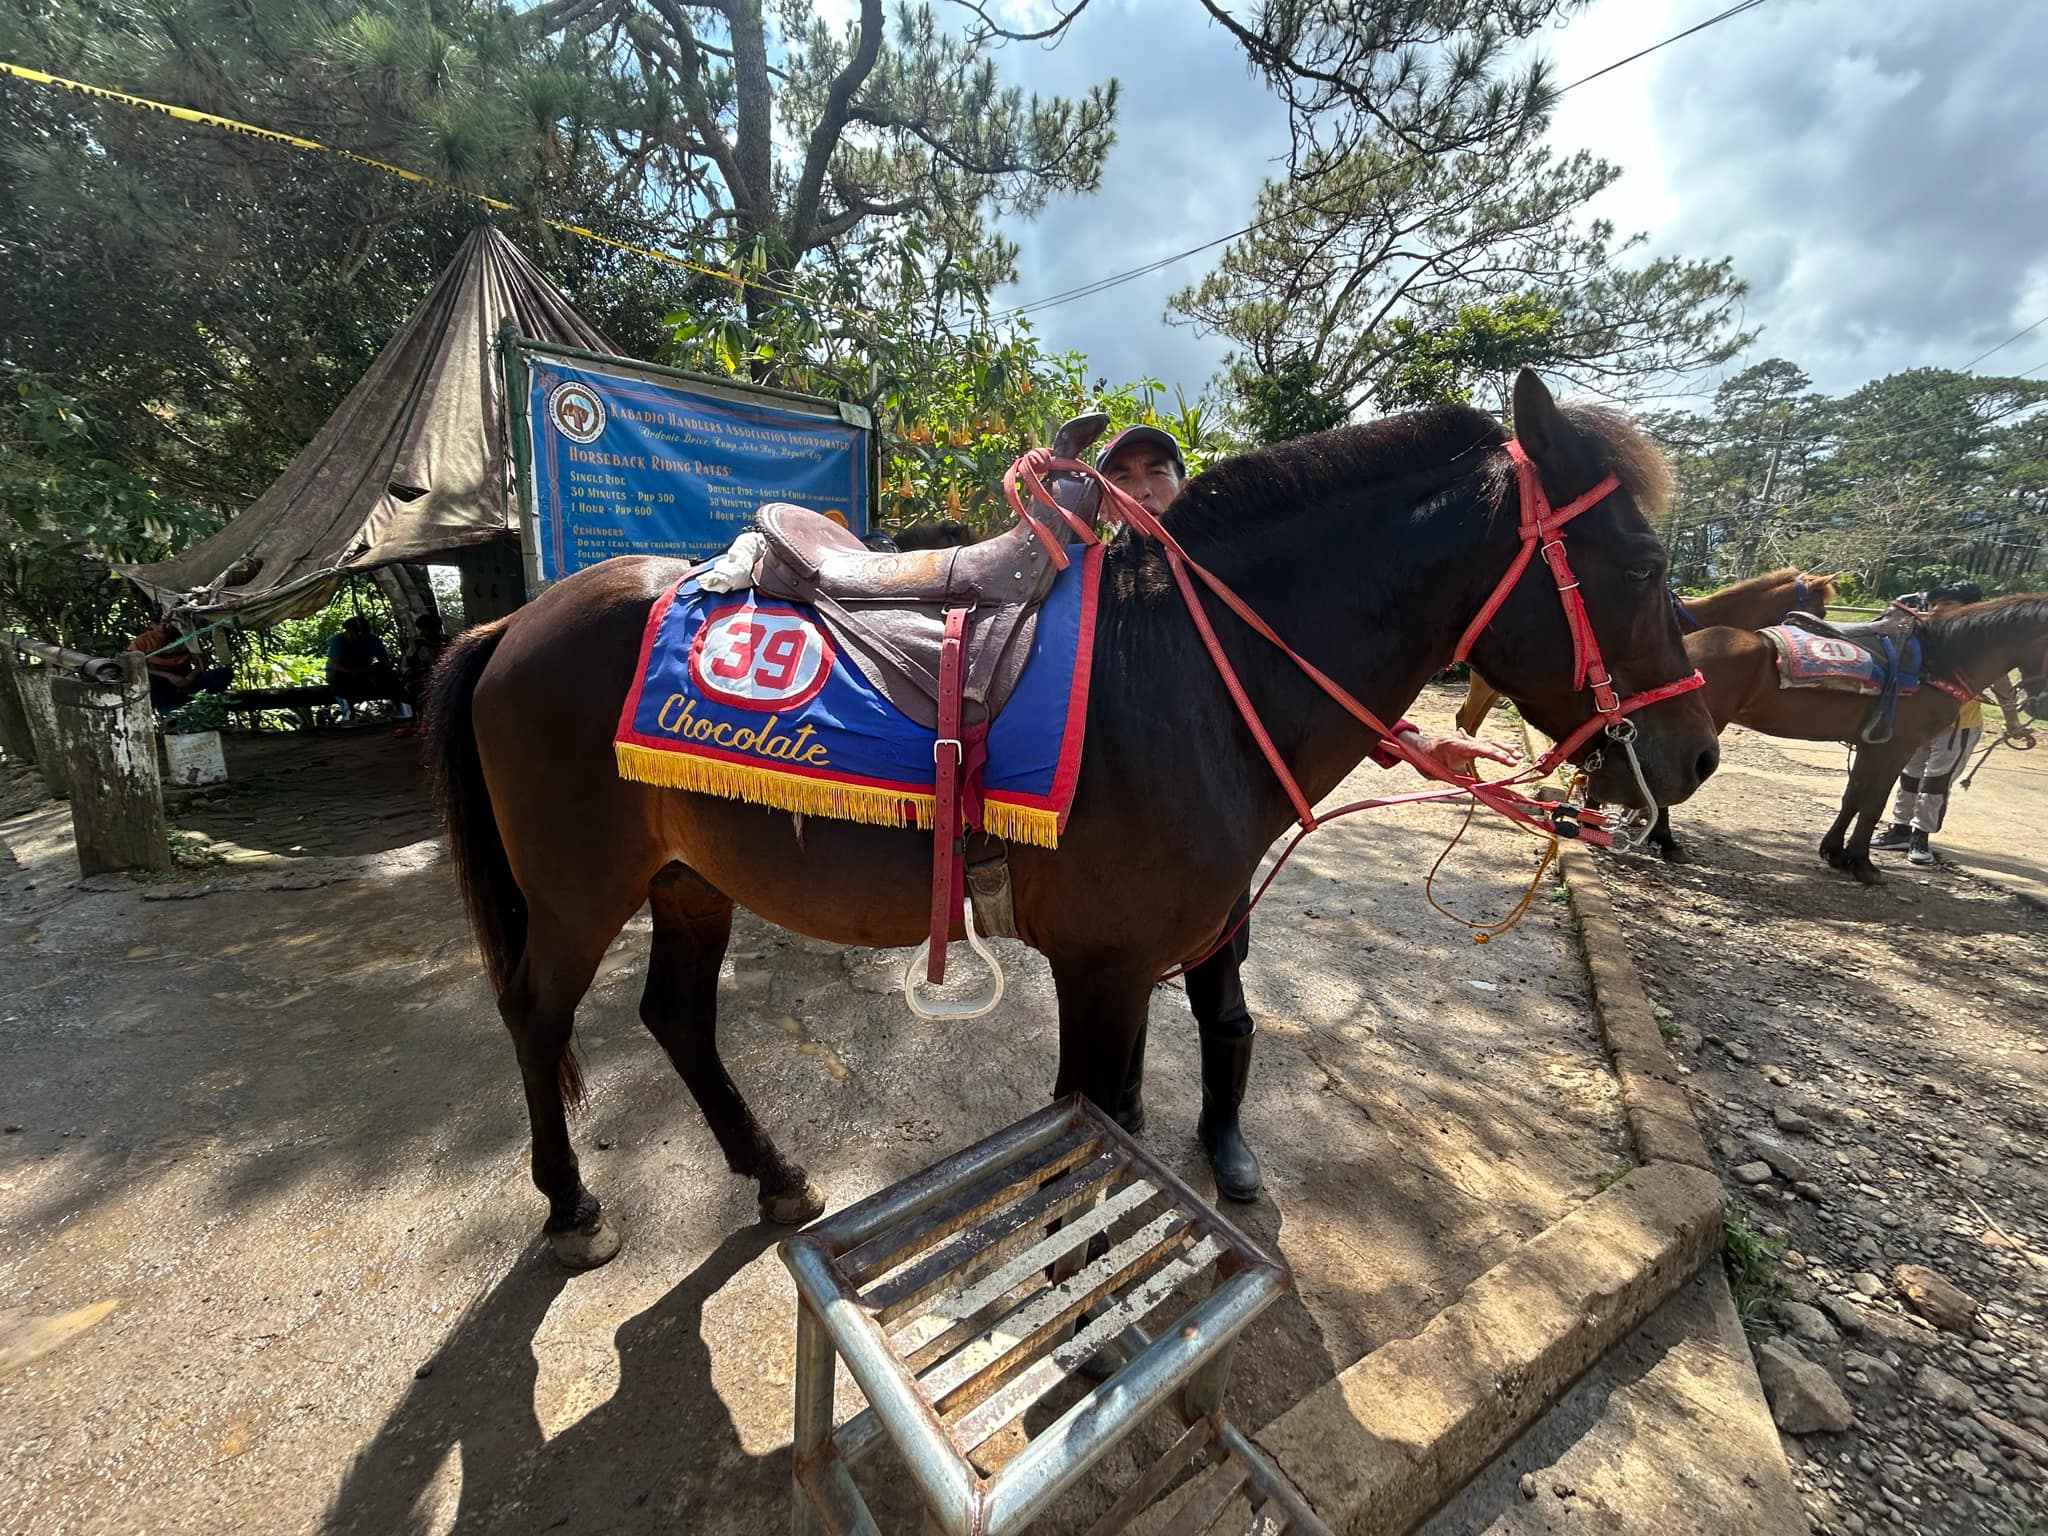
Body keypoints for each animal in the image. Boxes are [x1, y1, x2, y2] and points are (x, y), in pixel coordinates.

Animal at [424, 369, 1722, 1268]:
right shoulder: (1103, 967)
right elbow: (1093, 1129)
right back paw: (571, 1207)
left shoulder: (1144, 963)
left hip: (688, 879)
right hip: (576, 889)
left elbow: (1137, 1110)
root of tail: (514, 623)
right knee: (537, 1013)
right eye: (1643, 563)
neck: (1188, 672)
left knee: (677, 1020)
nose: (1697, 754)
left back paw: (775, 1176)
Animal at [1653, 594, 2048, 880]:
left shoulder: (1871, 746)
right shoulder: (1896, 746)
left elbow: (1852, 797)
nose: (2040, 704)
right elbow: (1873, 802)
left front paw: (1835, 852)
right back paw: (1666, 840)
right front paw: (1862, 863)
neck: (1935, 662)